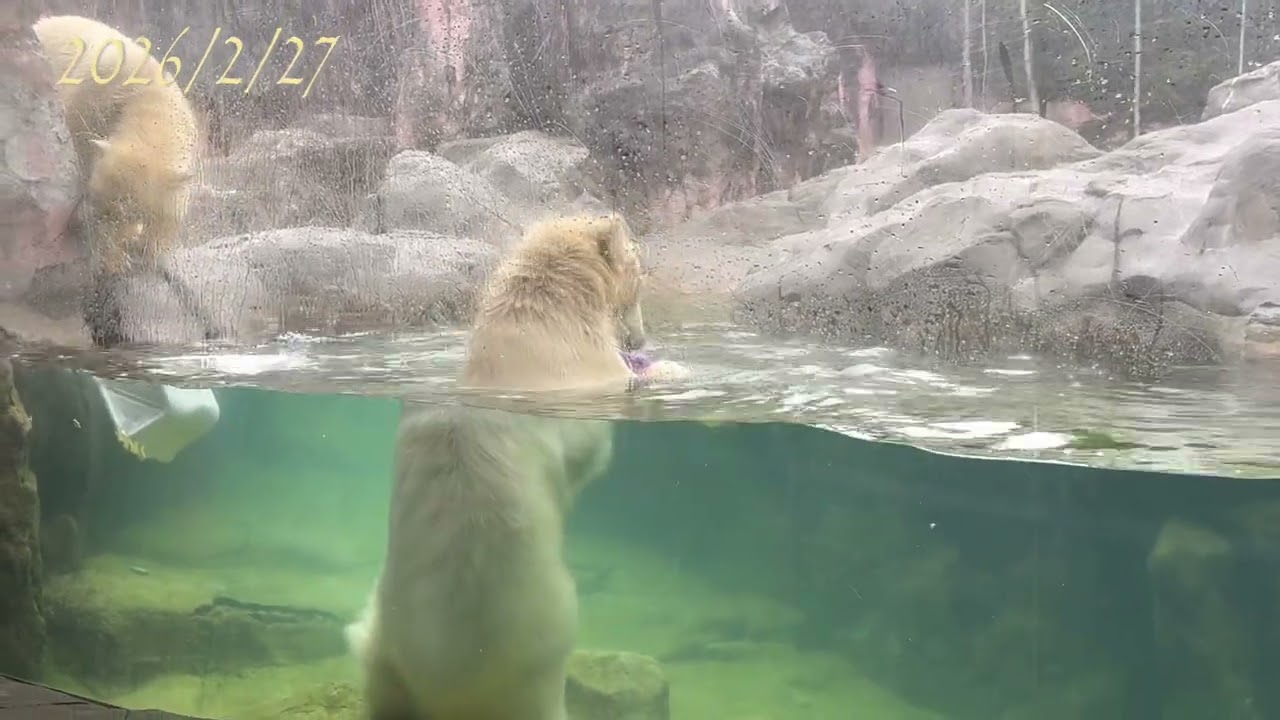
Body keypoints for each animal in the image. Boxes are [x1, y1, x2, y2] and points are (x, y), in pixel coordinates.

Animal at [32, 14, 199, 345]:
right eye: (101, 214)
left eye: (133, 216)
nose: (109, 266)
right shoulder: (84, 115)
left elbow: (171, 208)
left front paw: (150, 253)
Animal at [346, 212, 648, 720]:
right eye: (642, 277)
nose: (642, 339)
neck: (539, 321)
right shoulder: (580, 381)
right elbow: (590, 447)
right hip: (537, 640)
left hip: (383, 633)